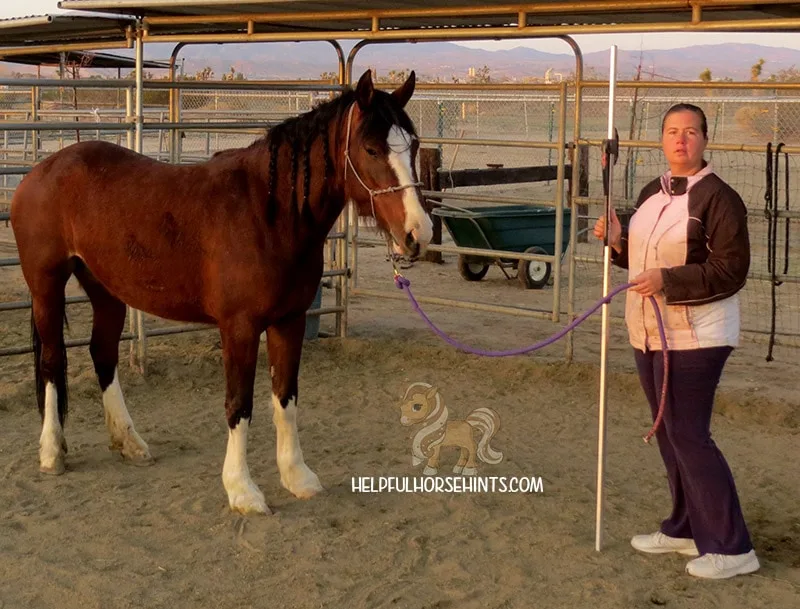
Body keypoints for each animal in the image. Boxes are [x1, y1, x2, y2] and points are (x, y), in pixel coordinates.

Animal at [9, 70, 432, 512]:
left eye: (414, 145)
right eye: (371, 148)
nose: (418, 234)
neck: (269, 216)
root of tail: (43, 170)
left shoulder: (290, 321)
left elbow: (286, 398)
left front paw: (297, 477)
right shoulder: (239, 328)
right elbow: (239, 404)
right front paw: (242, 490)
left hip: (105, 289)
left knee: (103, 354)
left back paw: (129, 442)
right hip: (46, 285)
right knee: (52, 360)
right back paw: (52, 453)